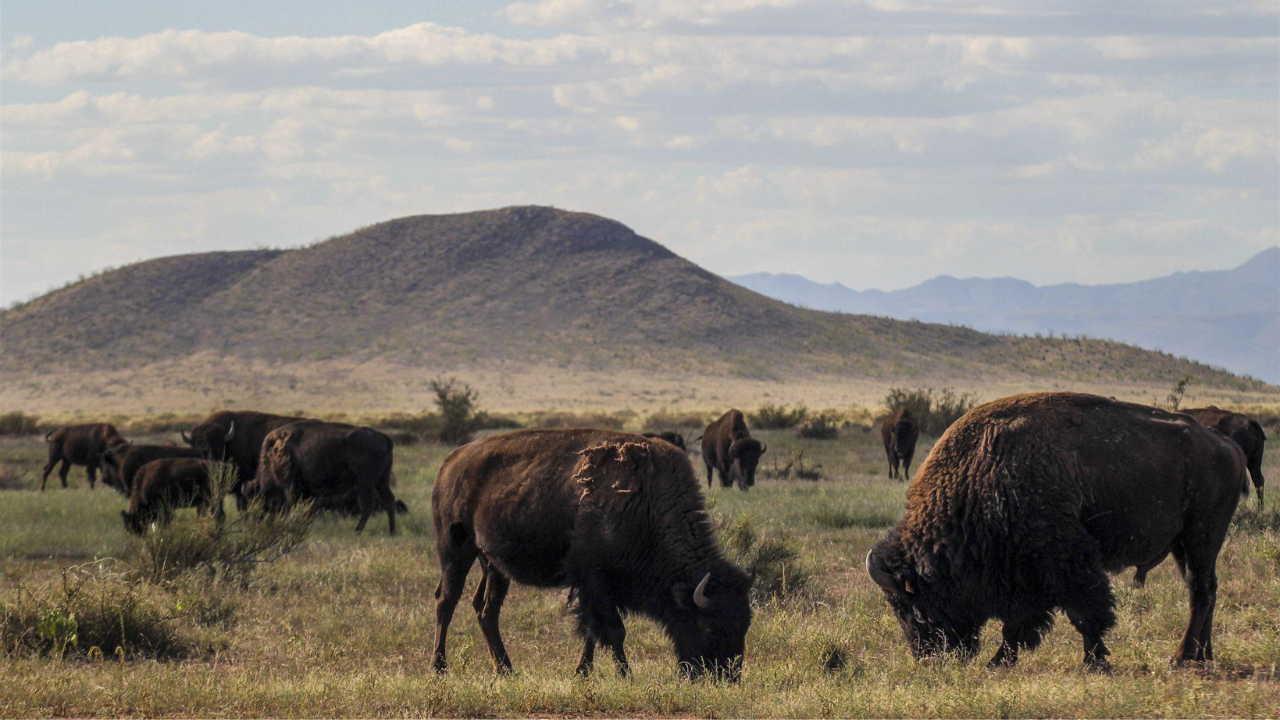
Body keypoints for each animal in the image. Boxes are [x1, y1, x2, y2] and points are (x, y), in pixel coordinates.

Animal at [245, 420, 397, 534]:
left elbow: (295, 506)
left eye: (254, 498)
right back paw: (391, 532)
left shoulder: (290, 486)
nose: (253, 523)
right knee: (388, 501)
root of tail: (385, 438)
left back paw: (357, 531)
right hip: (381, 481)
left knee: (368, 505)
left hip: (365, 483)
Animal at [431, 429, 753, 680]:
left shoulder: (595, 589)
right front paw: (625, 675)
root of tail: (450, 462)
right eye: (709, 627)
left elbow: (592, 632)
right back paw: (439, 668)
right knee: (446, 603)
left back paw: (506, 669)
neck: (646, 503)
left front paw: (582, 672)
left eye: (745, 624)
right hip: (455, 550)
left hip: (493, 564)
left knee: (486, 609)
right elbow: (613, 630)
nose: (727, 676)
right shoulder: (594, 580)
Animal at [867, 392, 1246, 671]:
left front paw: (1094, 661)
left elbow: (1083, 611)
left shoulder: (1064, 560)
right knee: (1205, 590)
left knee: (1200, 591)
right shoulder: (1025, 575)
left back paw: (1182, 657)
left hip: (1202, 535)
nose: (928, 656)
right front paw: (1000, 662)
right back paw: (1202, 656)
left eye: (912, 606)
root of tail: (1229, 447)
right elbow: (1020, 623)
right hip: (1185, 544)